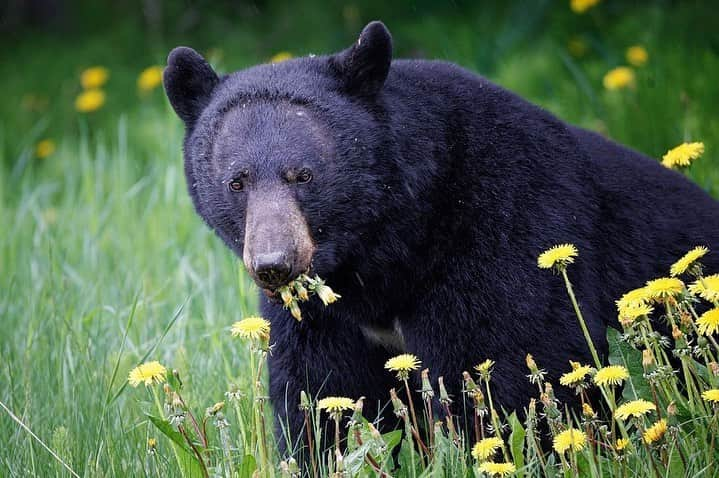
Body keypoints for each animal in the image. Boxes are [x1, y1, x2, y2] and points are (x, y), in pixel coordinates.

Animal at [165, 21, 719, 456]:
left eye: (303, 175)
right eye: (236, 182)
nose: (274, 263)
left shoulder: (505, 228)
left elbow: (504, 366)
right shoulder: (322, 313)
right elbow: (320, 389)